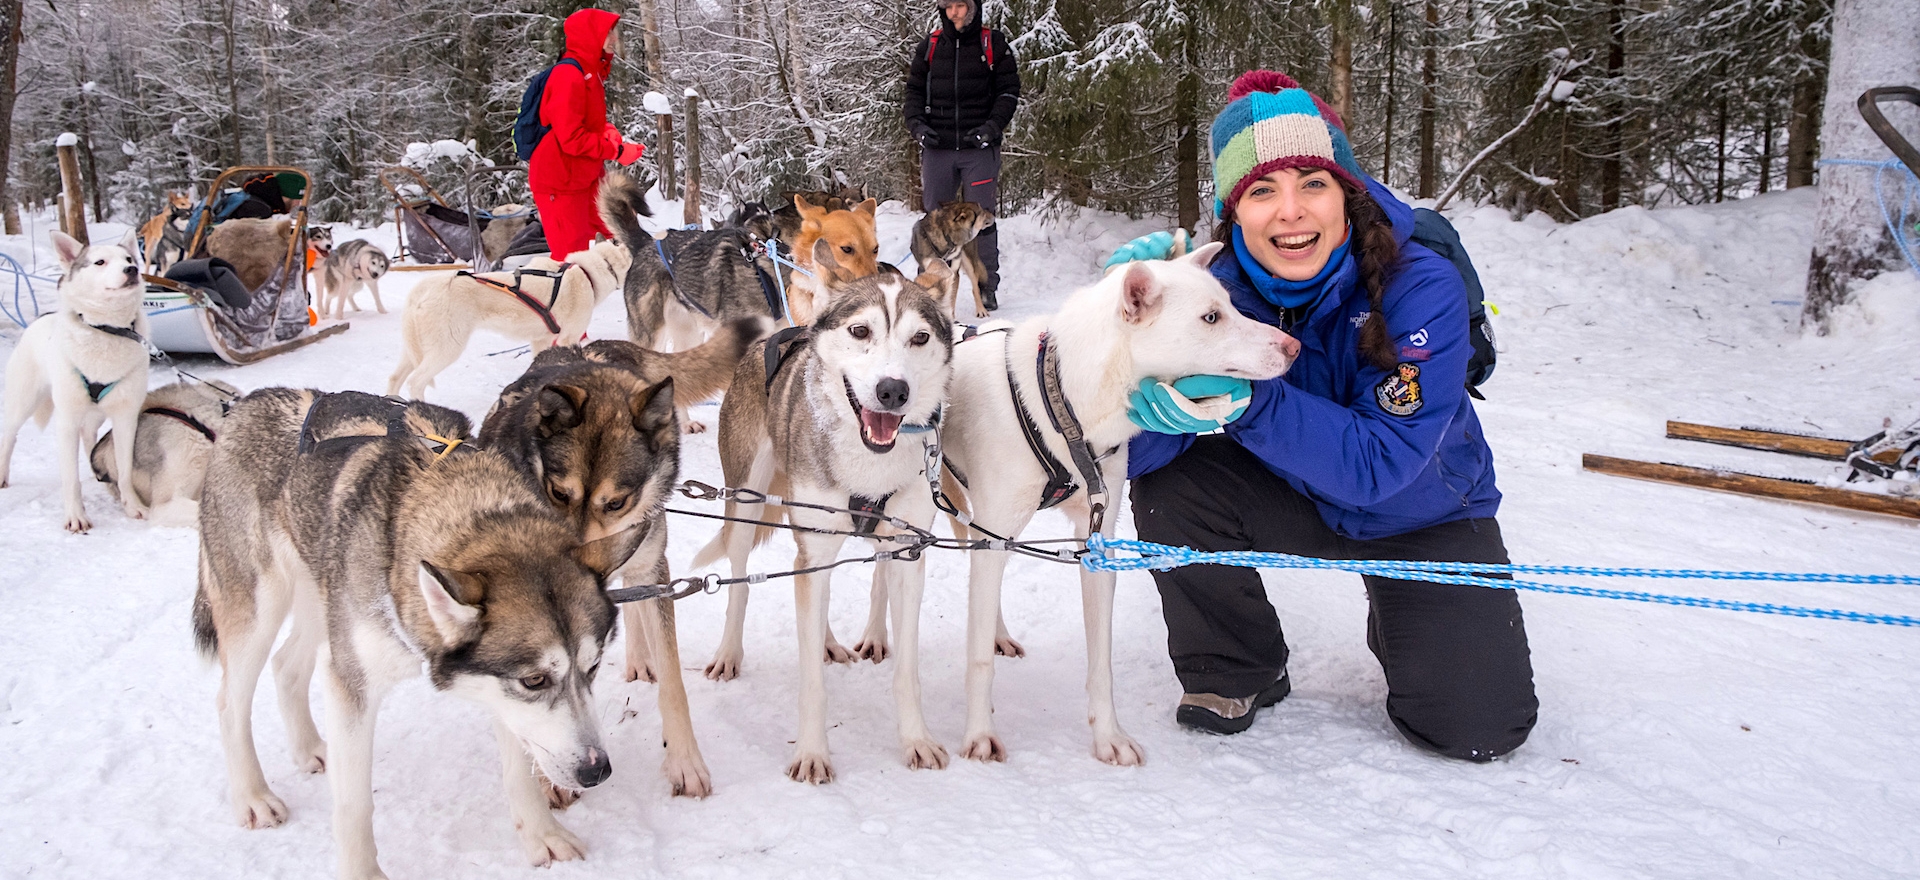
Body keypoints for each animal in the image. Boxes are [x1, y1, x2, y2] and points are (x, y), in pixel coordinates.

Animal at [0, 230, 149, 530]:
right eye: (100, 262)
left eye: (129, 259)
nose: (132, 270)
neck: (107, 330)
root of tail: (40, 318)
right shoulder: (66, 421)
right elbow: (70, 479)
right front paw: (76, 516)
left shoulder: (126, 416)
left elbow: (125, 470)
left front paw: (132, 505)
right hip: (22, 404)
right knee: (8, 437)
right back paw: (2, 476)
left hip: (96, 414)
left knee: (89, 436)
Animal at [198, 388, 645, 876]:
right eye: (534, 680)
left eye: (593, 667)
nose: (596, 771)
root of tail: (249, 400)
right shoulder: (353, 683)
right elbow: (354, 803)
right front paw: (362, 874)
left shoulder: (498, 693)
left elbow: (520, 771)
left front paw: (543, 836)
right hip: (259, 609)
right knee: (229, 702)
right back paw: (253, 796)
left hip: (320, 598)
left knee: (286, 666)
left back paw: (311, 748)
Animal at [387, 176, 645, 397]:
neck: (588, 270)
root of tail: (424, 288)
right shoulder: (569, 337)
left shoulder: (541, 341)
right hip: (446, 349)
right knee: (415, 381)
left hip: (413, 351)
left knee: (395, 377)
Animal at [695, 242, 956, 783]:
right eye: (860, 331)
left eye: (920, 337)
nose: (892, 390)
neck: (869, 464)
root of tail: (773, 336)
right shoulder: (810, 549)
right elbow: (810, 680)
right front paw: (813, 753)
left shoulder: (907, 552)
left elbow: (907, 670)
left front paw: (916, 740)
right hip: (745, 502)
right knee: (738, 579)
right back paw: (730, 653)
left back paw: (831, 642)